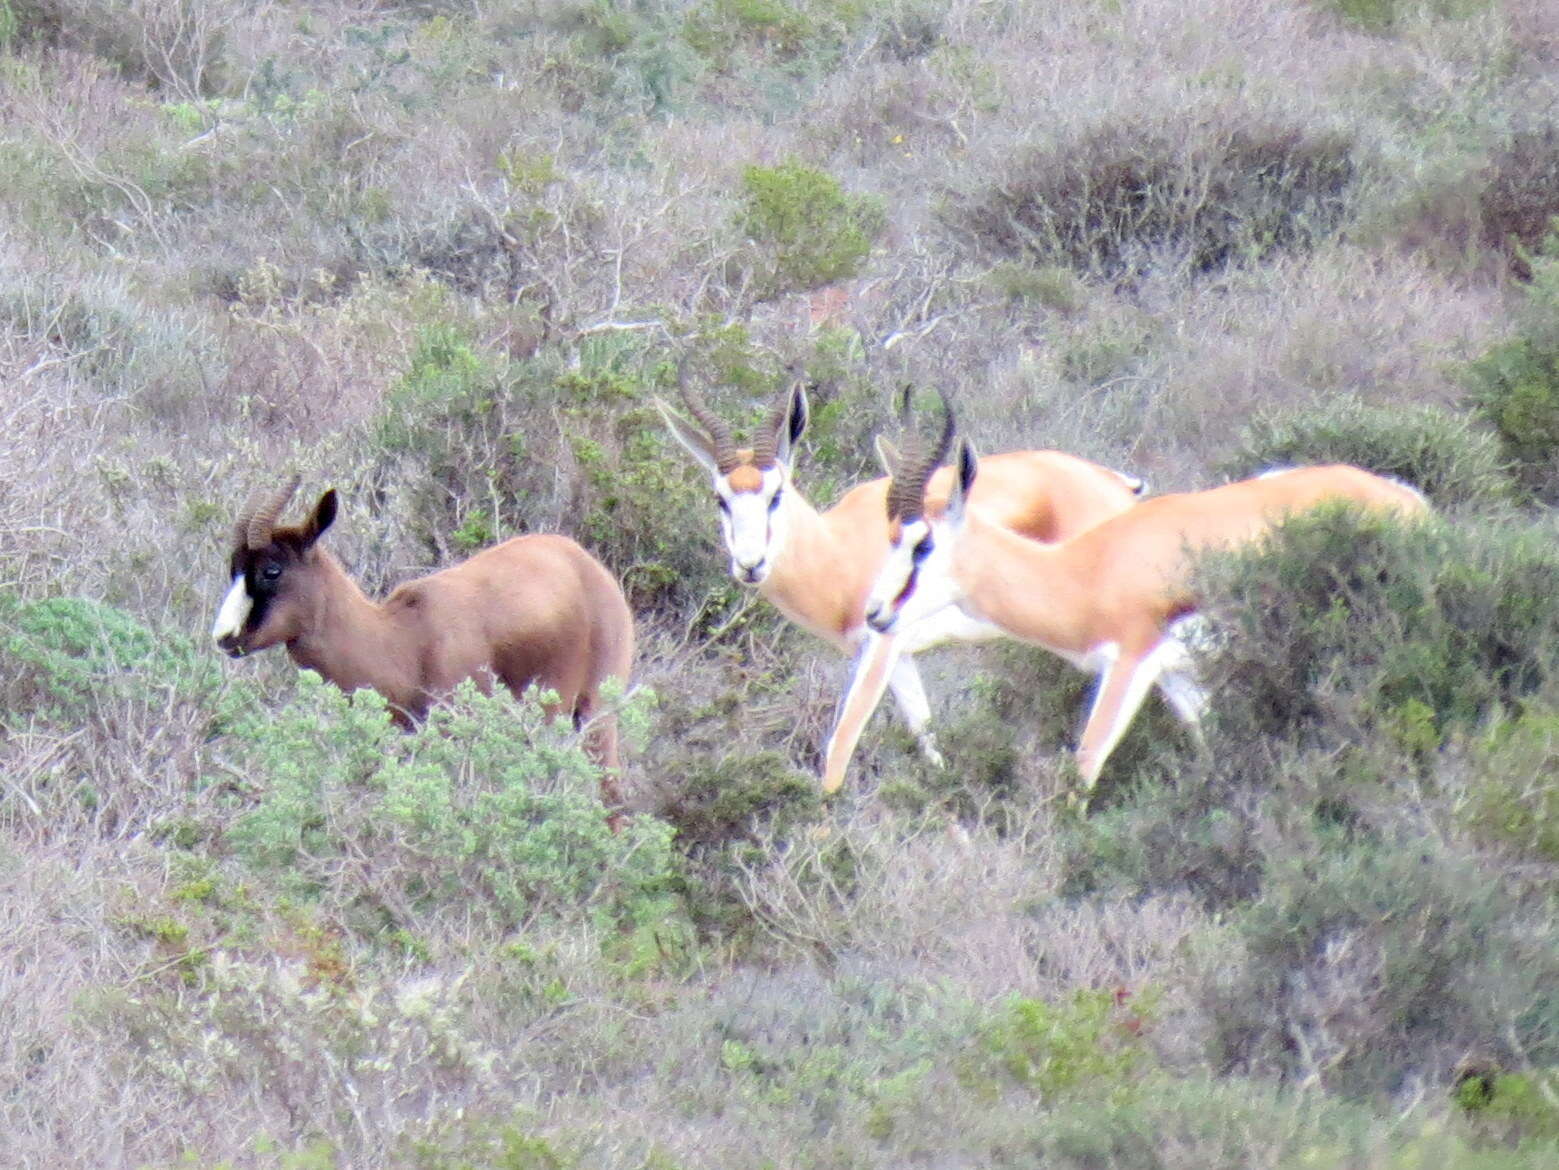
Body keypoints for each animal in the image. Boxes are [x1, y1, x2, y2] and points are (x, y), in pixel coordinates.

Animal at [213, 480, 639, 792]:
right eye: (234, 568)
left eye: (272, 570)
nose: (225, 637)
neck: (404, 637)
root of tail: (582, 560)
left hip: (595, 715)